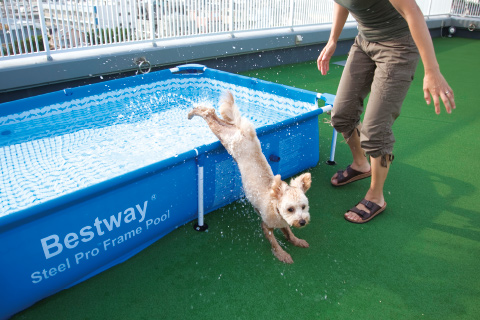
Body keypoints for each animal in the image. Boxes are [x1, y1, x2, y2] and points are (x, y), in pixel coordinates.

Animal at [188, 91, 312, 264]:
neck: (274, 206)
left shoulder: (282, 222)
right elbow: (274, 242)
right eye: (290, 209)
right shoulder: (266, 225)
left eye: (304, 207)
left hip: (229, 133)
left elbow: (288, 232)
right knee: (209, 116)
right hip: (227, 139)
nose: (302, 222)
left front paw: (296, 240)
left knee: (216, 116)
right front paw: (282, 254)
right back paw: (192, 113)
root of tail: (246, 133)